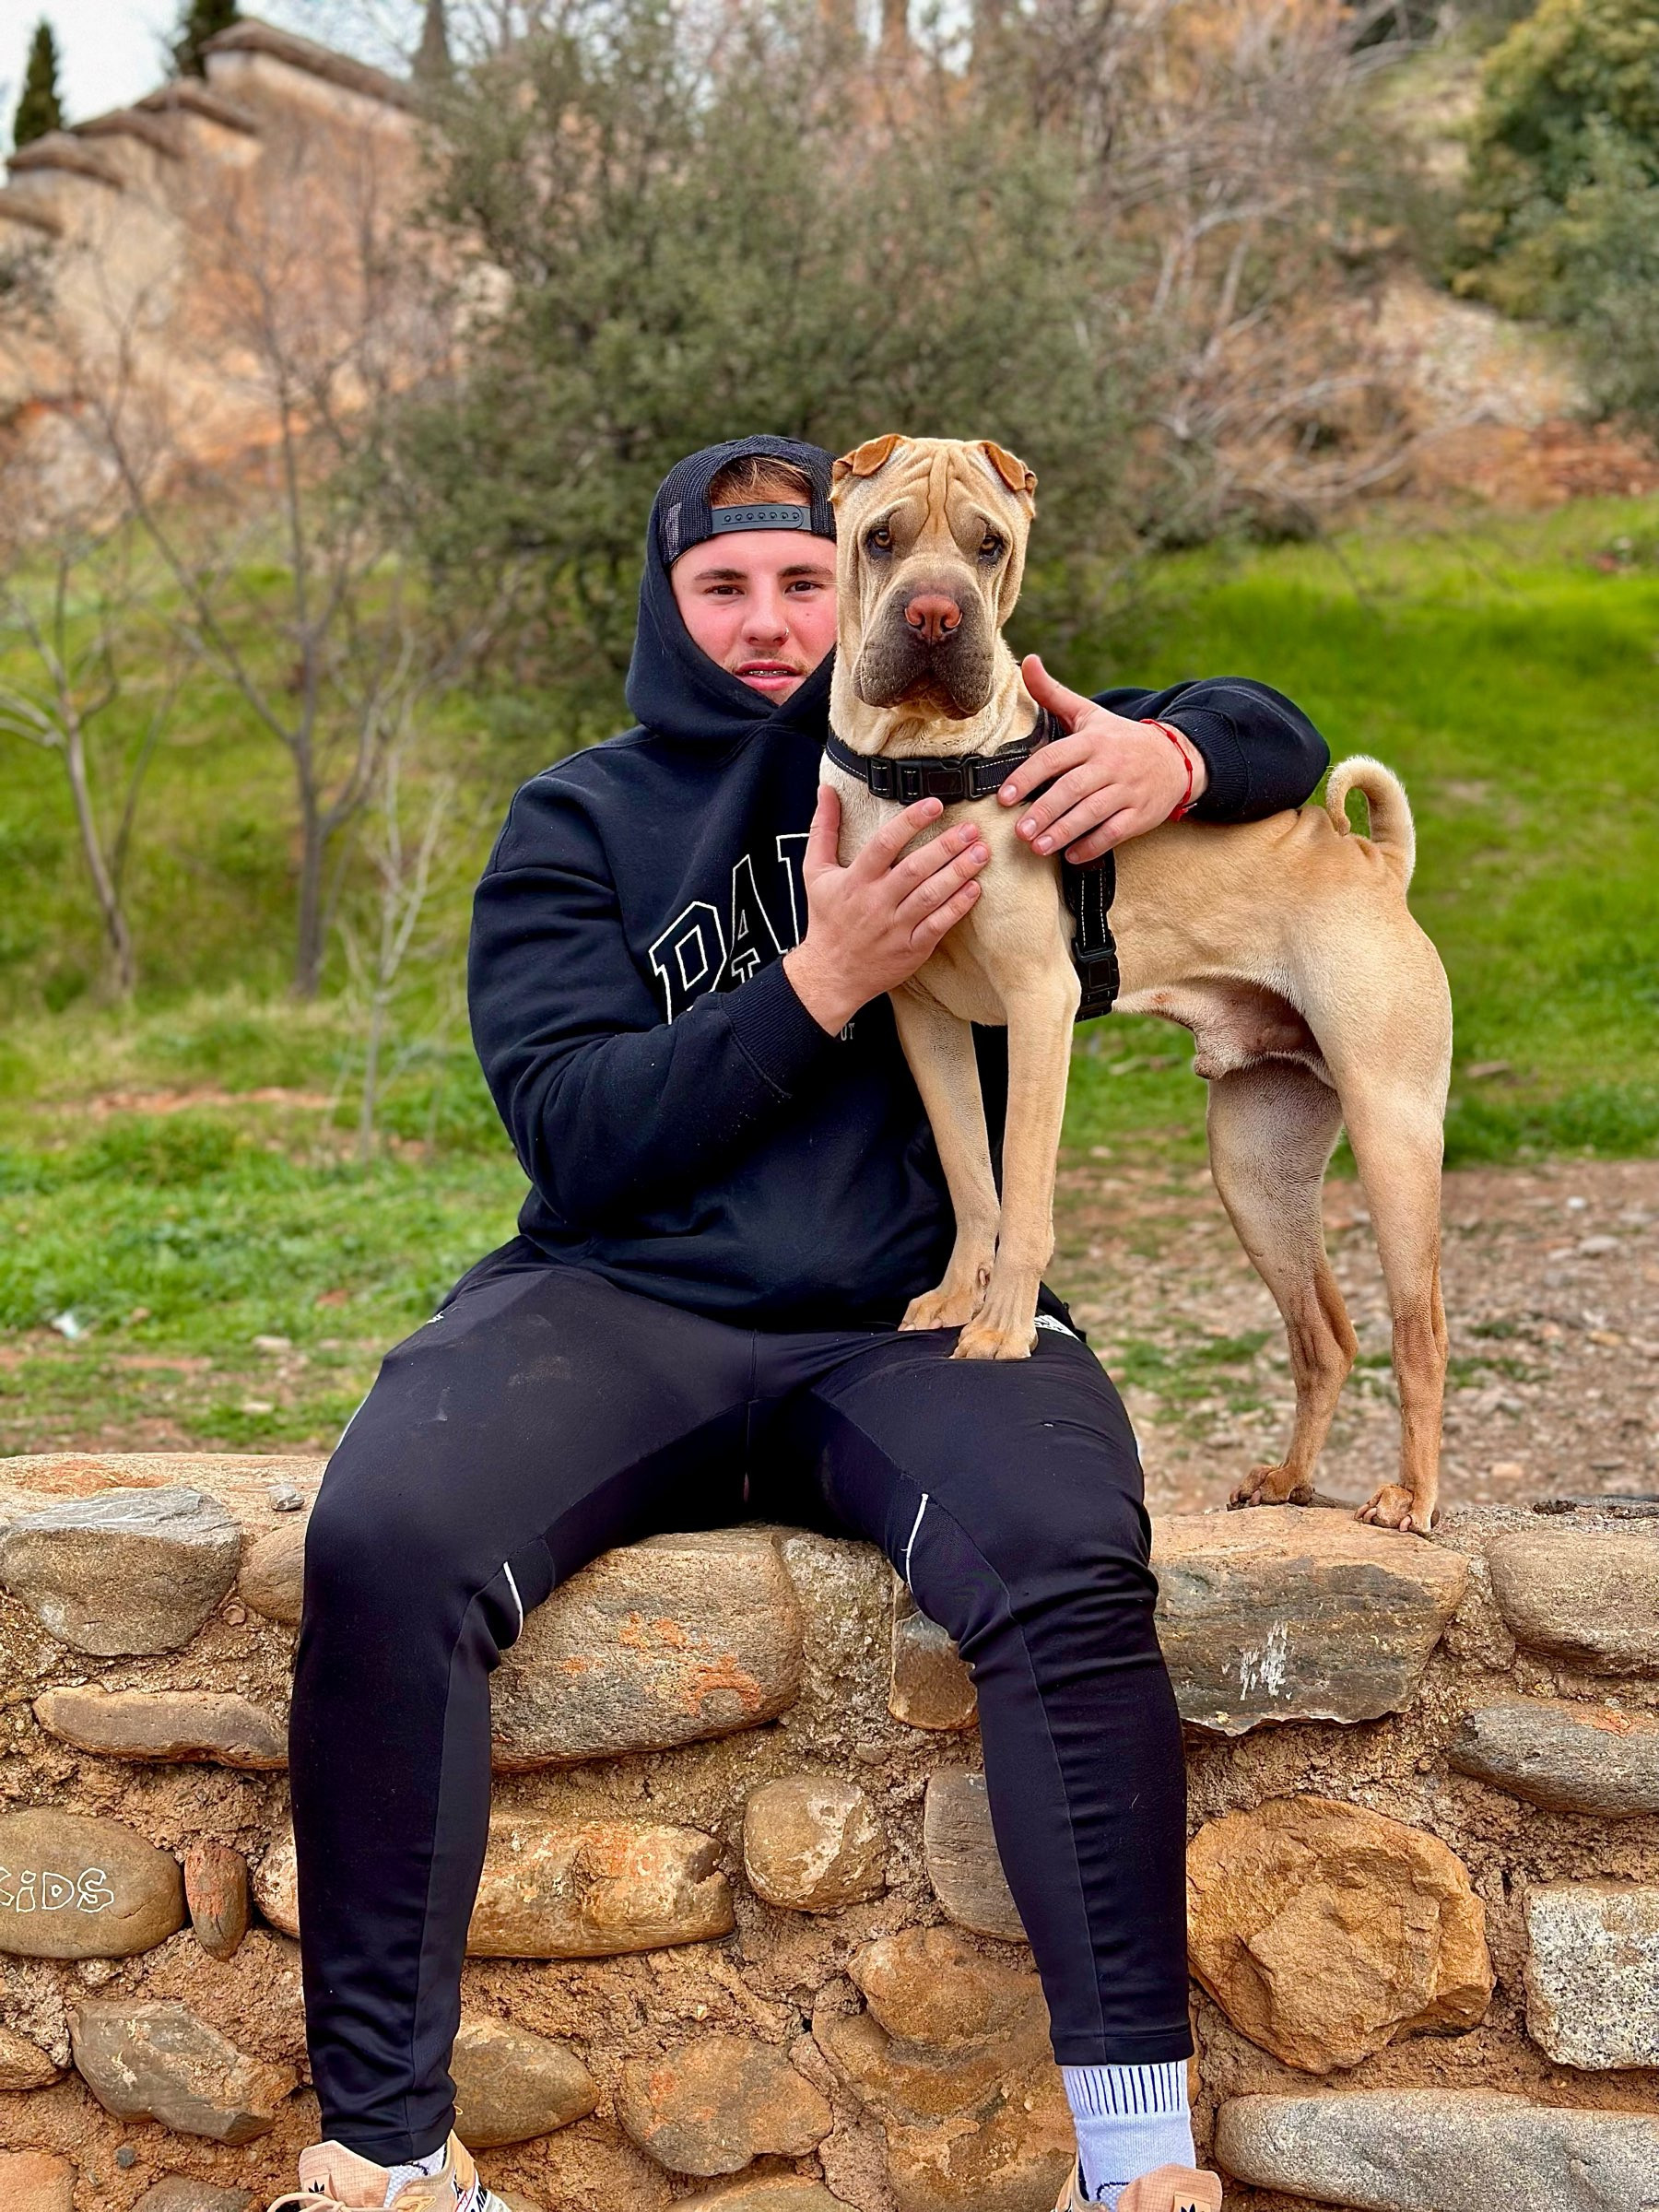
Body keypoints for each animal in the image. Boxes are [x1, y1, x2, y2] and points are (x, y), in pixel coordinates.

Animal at [825, 433, 1452, 1534]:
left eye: (989, 546)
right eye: (881, 539)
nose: (936, 614)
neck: (921, 770)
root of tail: (1378, 863)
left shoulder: (1038, 1006)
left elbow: (1023, 1194)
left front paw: (1001, 1329)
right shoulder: (925, 1019)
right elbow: (972, 1179)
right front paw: (955, 1300)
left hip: (1394, 1134)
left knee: (1419, 1332)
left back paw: (1409, 1496)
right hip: (1256, 1167)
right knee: (1324, 1336)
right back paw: (1289, 1480)